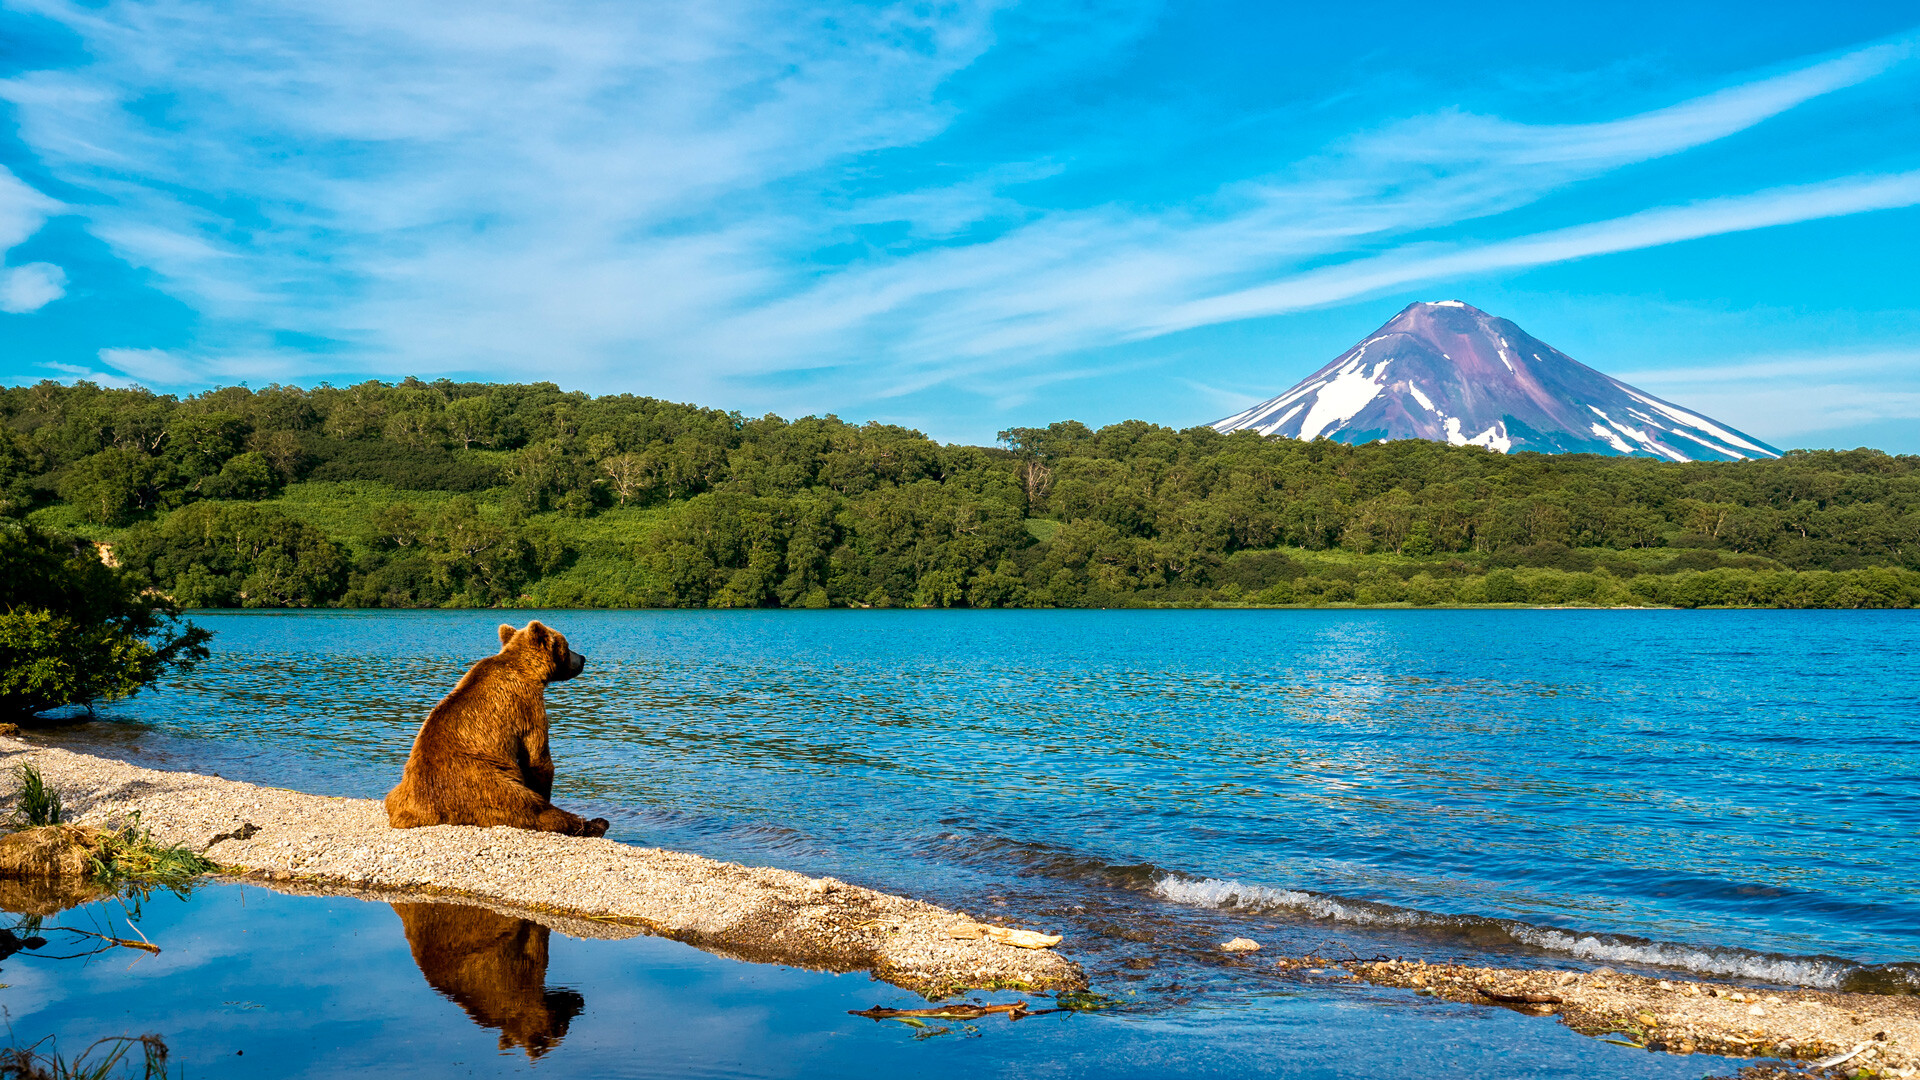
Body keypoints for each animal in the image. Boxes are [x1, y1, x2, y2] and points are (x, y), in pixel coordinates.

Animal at [384, 618, 606, 837]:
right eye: (567, 646)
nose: (583, 658)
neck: (526, 669)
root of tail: (418, 812)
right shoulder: (527, 705)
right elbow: (538, 758)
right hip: (483, 784)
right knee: (529, 807)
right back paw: (595, 823)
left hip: (403, 789)